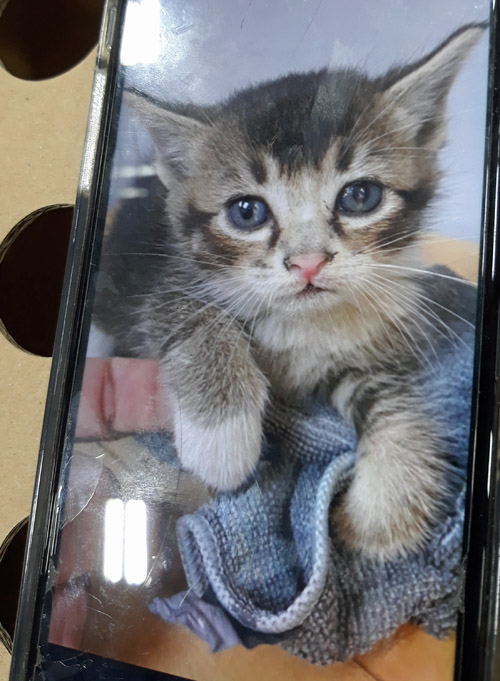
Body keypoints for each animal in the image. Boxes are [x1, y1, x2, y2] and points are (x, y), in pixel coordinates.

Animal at [94, 25, 484, 556]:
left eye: (360, 196)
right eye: (247, 212)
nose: (308, 262)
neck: (305, 322)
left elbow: (391, 394)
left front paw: (386, 505)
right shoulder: (166, 276)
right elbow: (185, 309)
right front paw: (222, 434)